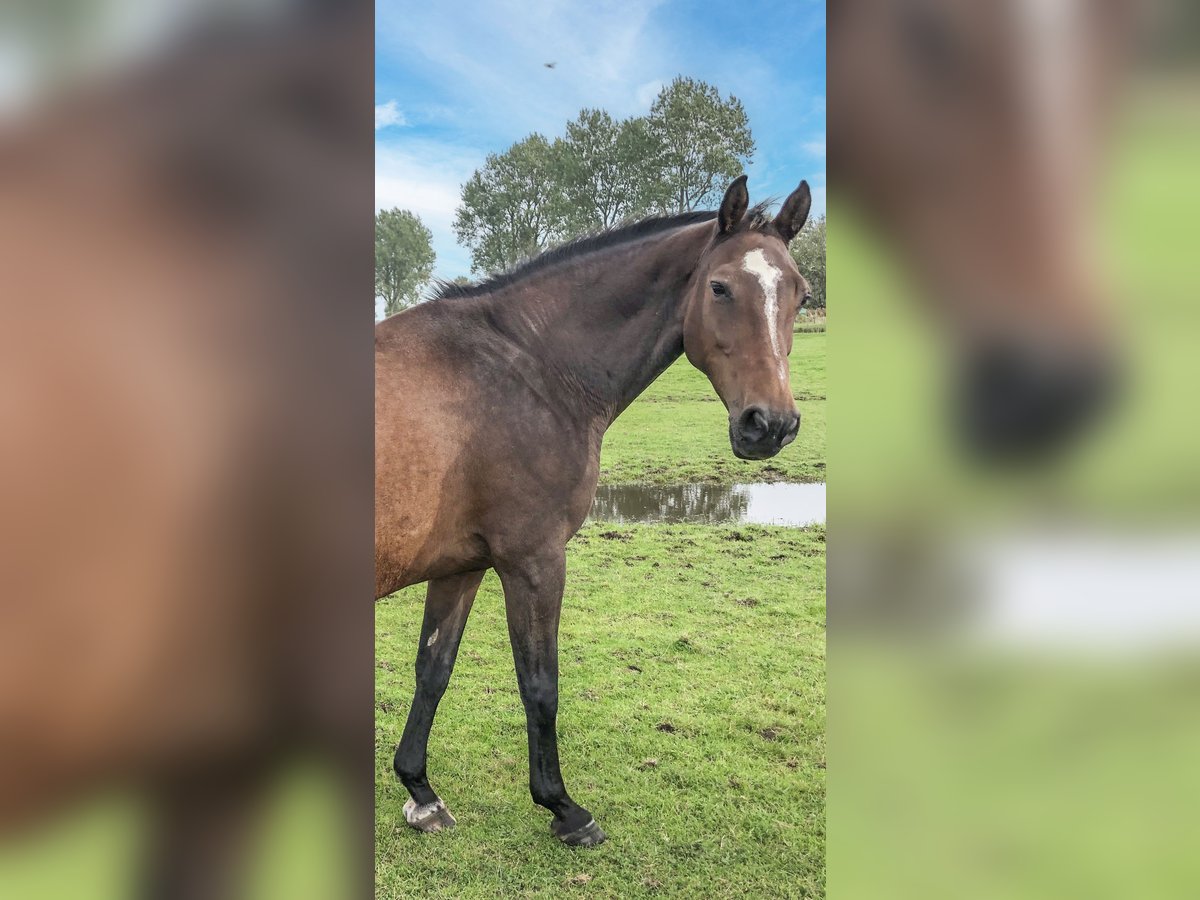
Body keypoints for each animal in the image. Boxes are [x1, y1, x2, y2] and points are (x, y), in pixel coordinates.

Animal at [374, 174, 816, 844]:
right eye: (720, 287)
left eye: (800, 293)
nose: (771, 425)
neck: (530, 368)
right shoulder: (533, 562)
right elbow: (540, 686)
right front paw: (563, 808)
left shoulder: (461, 566)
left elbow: (433, 669)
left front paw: (420, 791)